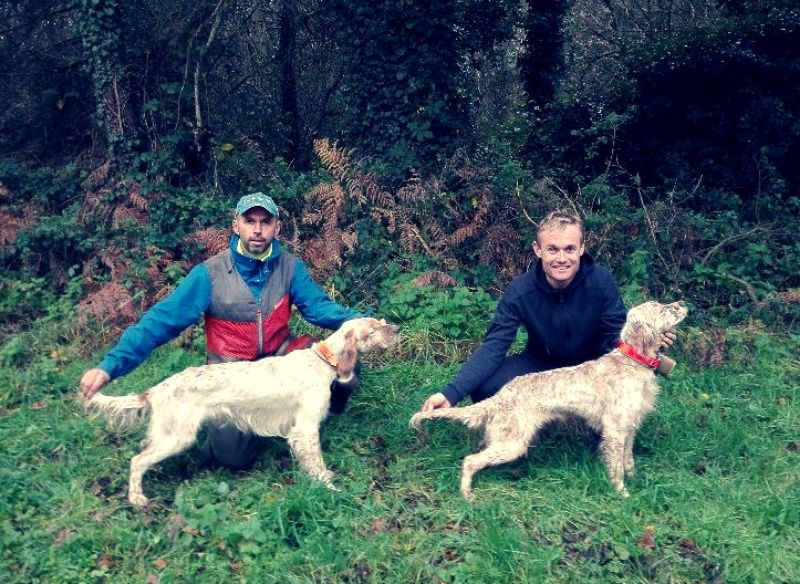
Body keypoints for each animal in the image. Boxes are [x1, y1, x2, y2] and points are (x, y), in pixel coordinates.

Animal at [86, 314, 398, 506]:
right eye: (372, 329)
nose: (396, 328)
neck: (322, 361)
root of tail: (157, 389)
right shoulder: (305, 429)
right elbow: (317, 465)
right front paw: (330, 490)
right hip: (177, 437)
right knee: (137, 461)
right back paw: (137, 499)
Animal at [412, 304, 688, 500]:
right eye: (663, 308)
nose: (683, 302)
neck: (632, 361)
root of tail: (501, 396)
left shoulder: (629, 428)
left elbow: (628, 461)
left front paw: (635, 482)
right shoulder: (615, 432)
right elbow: (616, 468)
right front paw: (622, 494)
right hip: (512, 443)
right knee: (470, 461)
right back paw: (467, 496)